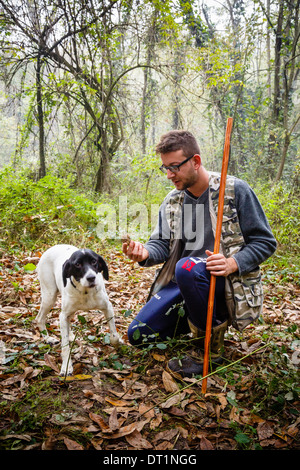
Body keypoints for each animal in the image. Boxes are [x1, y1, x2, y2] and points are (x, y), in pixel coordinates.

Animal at [35, 246, 122, 374]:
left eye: (94, 261)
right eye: (77, 264)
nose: (91, 278)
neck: (85, 291)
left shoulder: (108, 308)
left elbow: (114, 336)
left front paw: (118, 343)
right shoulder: (63, 315)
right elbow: (65, 346)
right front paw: (66, 366)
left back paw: (70, 335)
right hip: (49, 296)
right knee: (39, 319)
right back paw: (48, 338)